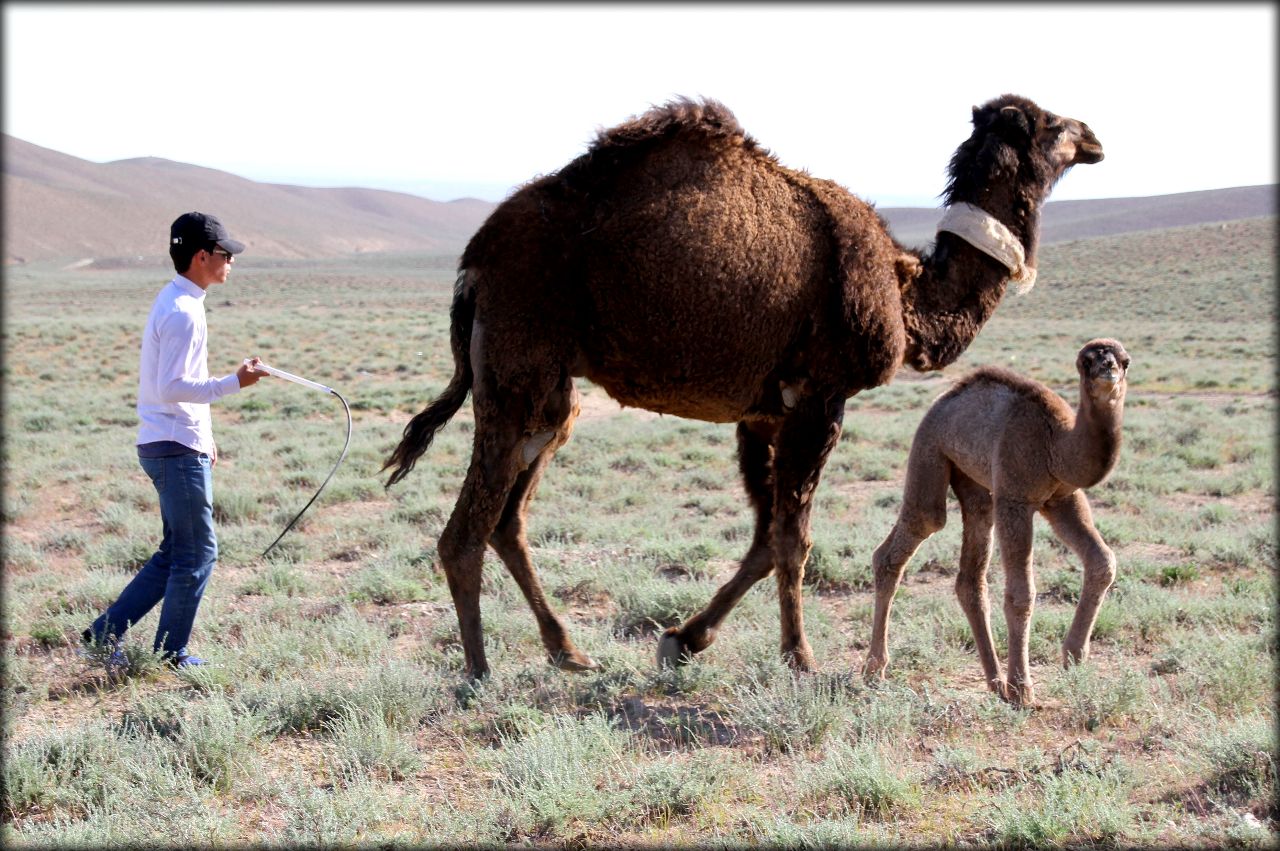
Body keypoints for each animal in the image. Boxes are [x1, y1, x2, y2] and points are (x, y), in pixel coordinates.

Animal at [378, 94, 1100, 675]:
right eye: (1048, 123)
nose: (1093, 135)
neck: (905, 293)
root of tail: (474, 262)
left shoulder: (762, 412)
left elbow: (762, 540)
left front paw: (684, 638)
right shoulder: (821, 397)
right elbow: (792, 538)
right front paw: (800, 656)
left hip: (554, 397)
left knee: (507, 520)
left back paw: (567, 649)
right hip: (515, 365)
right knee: (465, 531)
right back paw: (480, 673)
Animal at [865, 337, 1126, 701]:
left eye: (1124, 360)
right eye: (1087, 361)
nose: (1108, 370)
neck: (1056, 445)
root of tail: (942, 400)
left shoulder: (1061, 497)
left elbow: (1103, 561)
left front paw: (1073, 656)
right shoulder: (1014, 498)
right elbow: (1021, 594)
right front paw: (1023, 689)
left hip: (975, 485)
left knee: (969, 575)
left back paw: (995, 681)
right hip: (930, 449)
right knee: (920, 524)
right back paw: (874, 670)